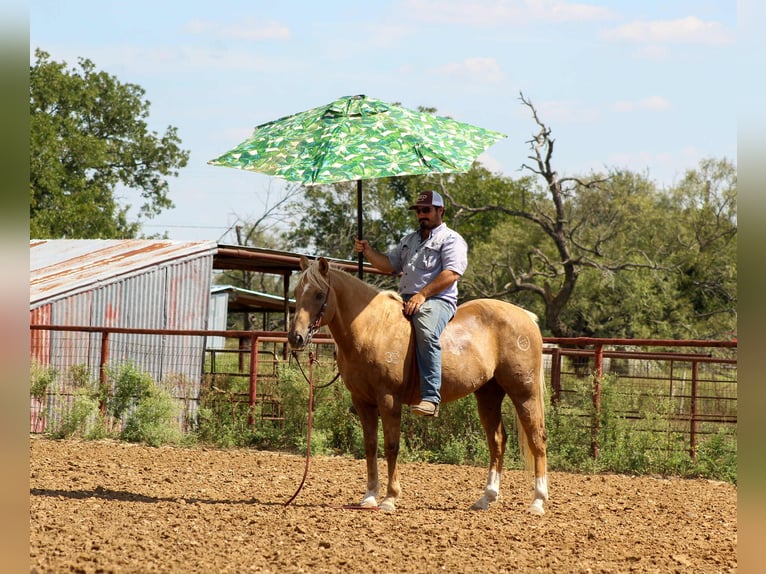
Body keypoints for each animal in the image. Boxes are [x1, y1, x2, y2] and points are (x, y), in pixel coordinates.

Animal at [288, 256, 548, 515]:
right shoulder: (363, 402)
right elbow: (370, 446)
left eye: (319, 294)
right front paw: (370, 496)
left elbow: (391, 446)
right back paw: (486, 498)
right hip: (488, 394)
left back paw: (537, 501)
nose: (295, 338)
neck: (373, 330)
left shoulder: (389, 399)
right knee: (497, 441)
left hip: (524, 392)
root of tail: (526, 317)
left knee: (537, 438)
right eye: (297, 292)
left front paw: (390, 498)